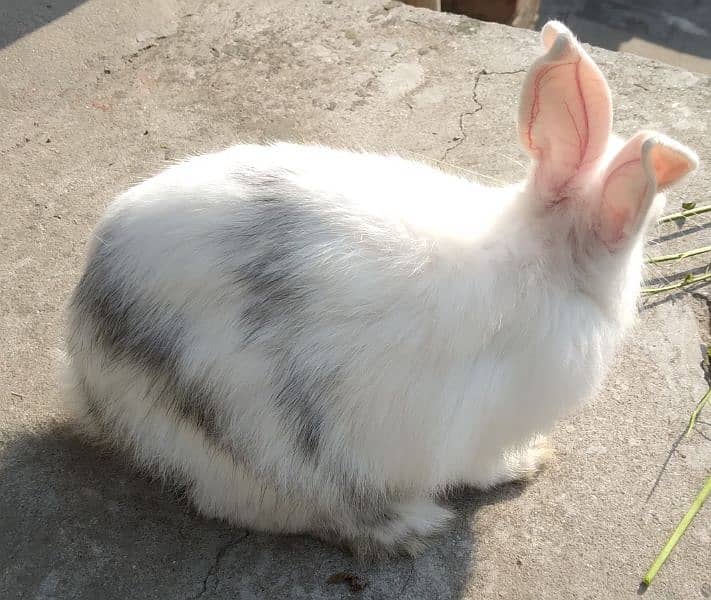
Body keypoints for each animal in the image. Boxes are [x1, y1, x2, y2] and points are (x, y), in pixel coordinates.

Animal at [64, 22, 700, 556]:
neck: (542, 257)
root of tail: (90, 366)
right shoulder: (482, 427)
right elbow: (483, 464)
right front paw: (528, 462)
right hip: (263, 440)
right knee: (283, 511)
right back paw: (410, 526)